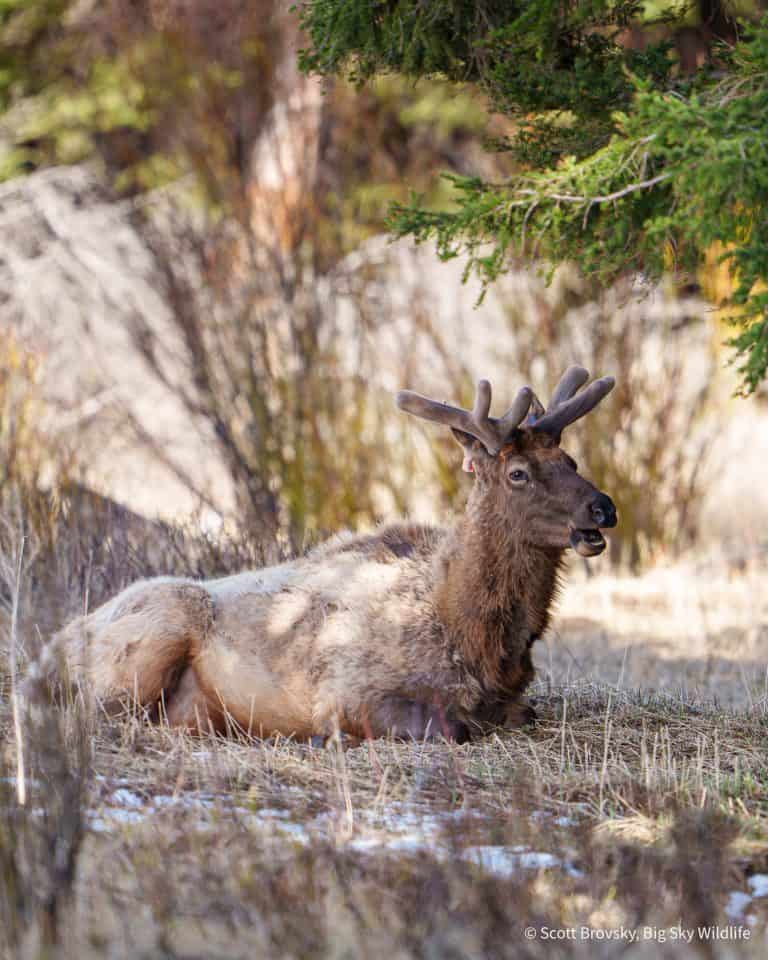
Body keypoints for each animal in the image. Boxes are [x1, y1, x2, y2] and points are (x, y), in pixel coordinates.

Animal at [35, 365, 616, 742]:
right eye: (518, 473)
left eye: (570, 460)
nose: (603, 507)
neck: (474, 634)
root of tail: (54, 647)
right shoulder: (349, 690)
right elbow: (450, 728)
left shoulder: (515, 700)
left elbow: (525, 714)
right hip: (147, 641)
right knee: (96, 712)